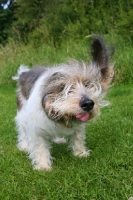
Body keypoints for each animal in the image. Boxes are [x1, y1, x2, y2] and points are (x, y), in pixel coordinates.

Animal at [13, 35, 114, 170]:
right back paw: (24, 146)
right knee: (22, 131)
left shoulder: (78, 126)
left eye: (87, 84)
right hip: (22, 115)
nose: (88, 104)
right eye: (63, 88)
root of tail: (23, 74)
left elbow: (78, 138)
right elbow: (40, 147)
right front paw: (43, 166)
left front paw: (80, 153)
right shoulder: (35, 128)